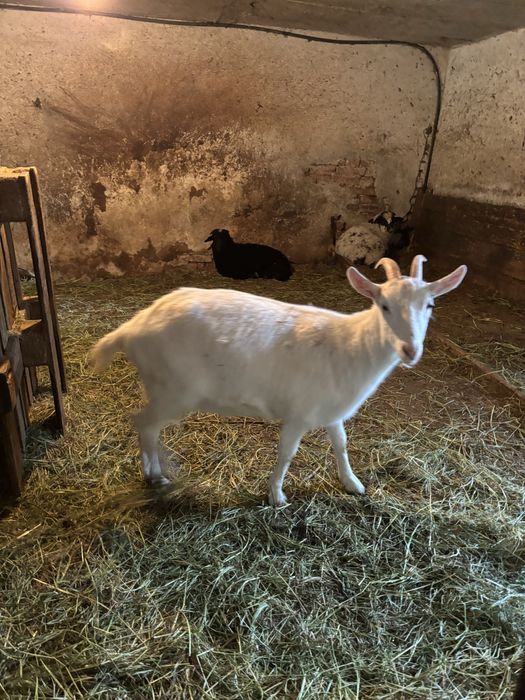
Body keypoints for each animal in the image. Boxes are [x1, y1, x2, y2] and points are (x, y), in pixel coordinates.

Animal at [90, 255, 467, 505]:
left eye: (430, 305)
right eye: (383, 305)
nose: (410, 350)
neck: (350, 345)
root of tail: (131, 328)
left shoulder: (330, 410)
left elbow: (341, 443)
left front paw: (352, 483)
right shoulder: (298, 413)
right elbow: (287, 453)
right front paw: (277, 495)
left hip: (165, 390)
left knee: (148, 426)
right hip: (173, 390)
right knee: (143, 423)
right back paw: (154, 475)